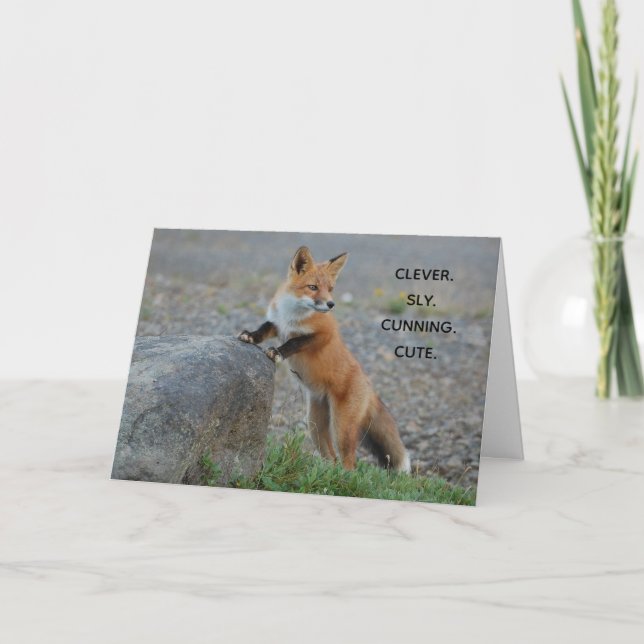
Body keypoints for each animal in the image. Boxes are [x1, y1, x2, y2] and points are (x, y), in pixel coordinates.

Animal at [238, 246, 410, 473]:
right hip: (315, 426)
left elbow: (295, 342)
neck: (292, 315)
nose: (331, 304)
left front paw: (278, 352)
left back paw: (342, 477)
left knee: (349, 463)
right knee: (332, 458)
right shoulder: (277, 323)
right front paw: (250, 336)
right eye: (313, 287)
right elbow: (263, 329)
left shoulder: (324, 334)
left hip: (341, 428)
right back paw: (324, 473)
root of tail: (368, 384)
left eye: (330, 289)